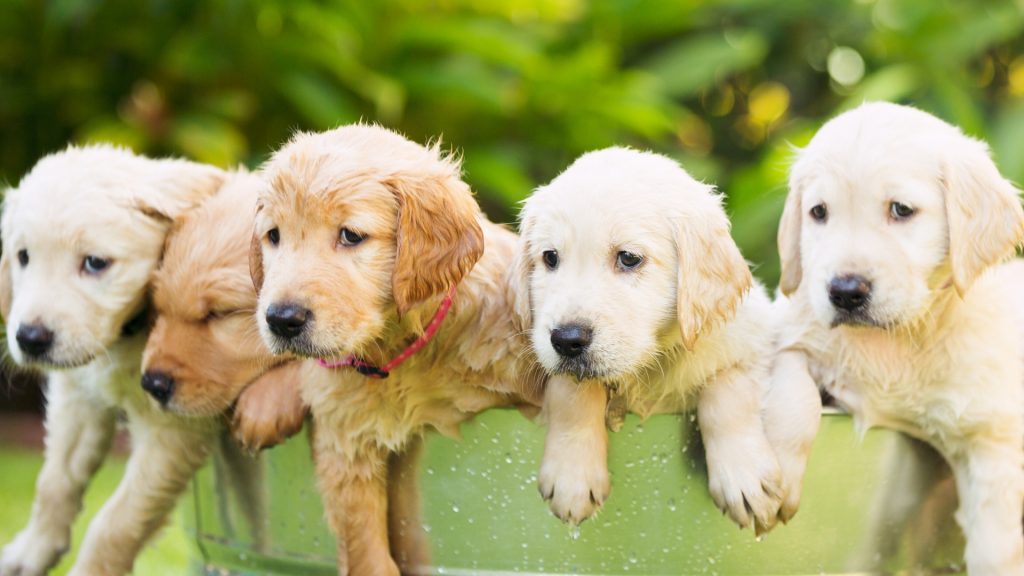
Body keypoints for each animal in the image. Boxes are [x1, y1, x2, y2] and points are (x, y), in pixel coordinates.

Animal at [0, 143, 223, 573]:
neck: (129, 335)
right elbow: (54, 480)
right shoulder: (80, 395)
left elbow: (115, 523)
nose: (30, 338)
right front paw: (32, 550)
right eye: (23, 257)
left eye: (95, 263)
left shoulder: (174, 430)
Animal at [251, 123, 544, 569]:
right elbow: (366, 551)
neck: (400, 350)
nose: (281, 319)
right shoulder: (346, 444)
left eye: (351, 235)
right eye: (273, 236)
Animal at [520, 145, 782, 532]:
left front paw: (744, 476)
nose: (567, 340)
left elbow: (727, 387)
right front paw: (573, 475)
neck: (649, 363)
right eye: (550, 257)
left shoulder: (756, 342)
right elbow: (571, 391)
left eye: (628, 258)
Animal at [770, 100, 1024, 569]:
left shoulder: (995, 445)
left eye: (901, 210)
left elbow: (993, 550)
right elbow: (789, 371)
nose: (845, 292)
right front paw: (772, 471)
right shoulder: (791, 325)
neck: (902, 335)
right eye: (819, 213)